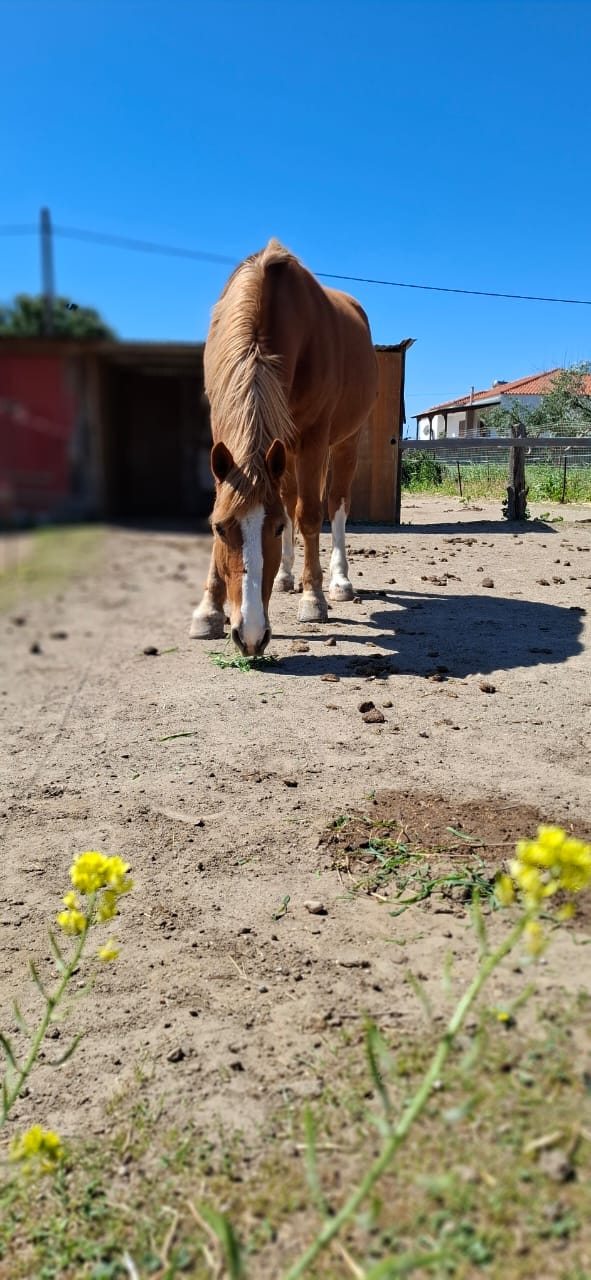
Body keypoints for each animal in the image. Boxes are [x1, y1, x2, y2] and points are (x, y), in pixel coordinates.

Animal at [190, 239, 378, 656]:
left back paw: (338, 582)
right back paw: (285, 578)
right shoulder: (223, 434)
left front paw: (313, 599)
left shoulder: (314, 438)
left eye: (274, 530)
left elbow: (308, 516)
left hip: (344, 443)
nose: (250, 635)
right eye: (220, 529)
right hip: (284, 452)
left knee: (335, 506)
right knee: (291, 498)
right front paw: (208, 611)